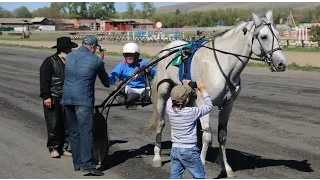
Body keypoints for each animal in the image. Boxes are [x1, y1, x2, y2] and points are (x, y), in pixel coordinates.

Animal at [144, 10, 286, 177]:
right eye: (264, 36)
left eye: (277, 34)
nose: (281, 63)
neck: (223, 65)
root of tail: (167, 49)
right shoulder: (204, 103)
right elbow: (207, 136)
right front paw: (202, 164)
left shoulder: (227, 105)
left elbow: (222, 136)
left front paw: (226, 167)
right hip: (163, 91)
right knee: (161, 123)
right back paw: (157, 157)